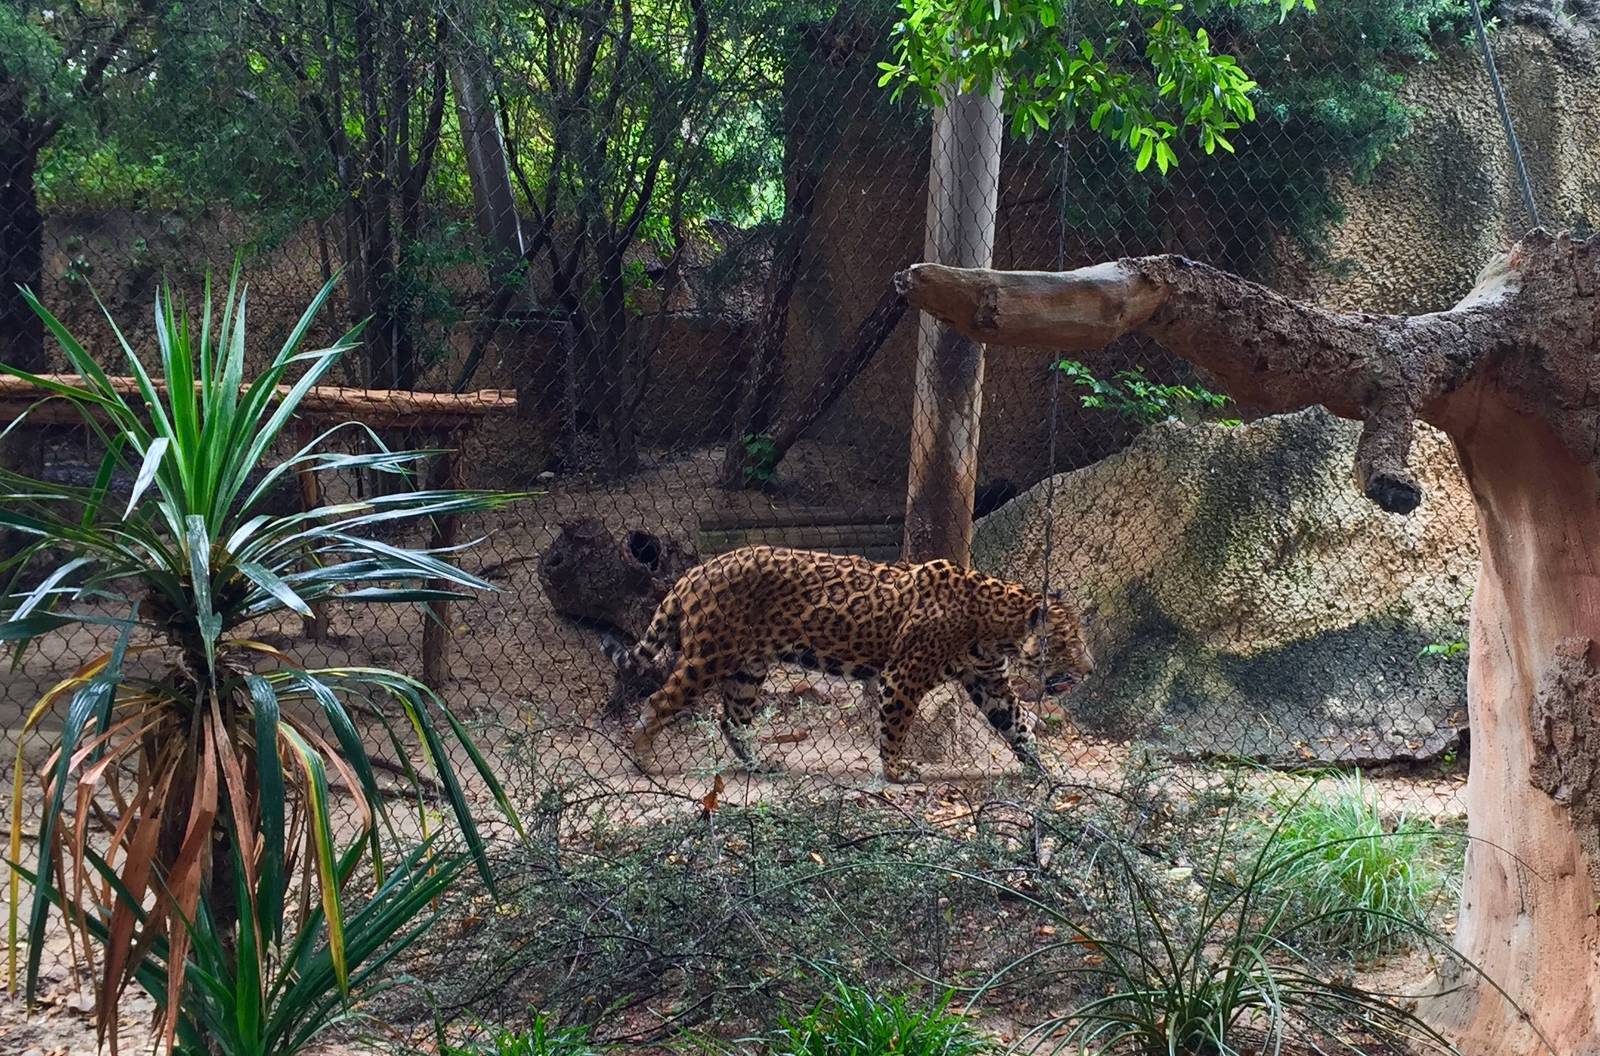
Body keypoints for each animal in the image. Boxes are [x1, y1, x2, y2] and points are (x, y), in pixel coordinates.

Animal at [602, 544, 1094, 782]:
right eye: (1069, 643)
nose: (1089, 670)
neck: (996, 626)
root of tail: (699, 569)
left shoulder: (989, 681)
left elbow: (1018, 724)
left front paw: (1049, 768)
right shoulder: (903, 675)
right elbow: (895, 727)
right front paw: (896, 772)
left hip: (749, 666)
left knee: (733, 720)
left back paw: (760, 764)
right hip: (710, 656)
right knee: (660, 700)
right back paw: (642, 757)